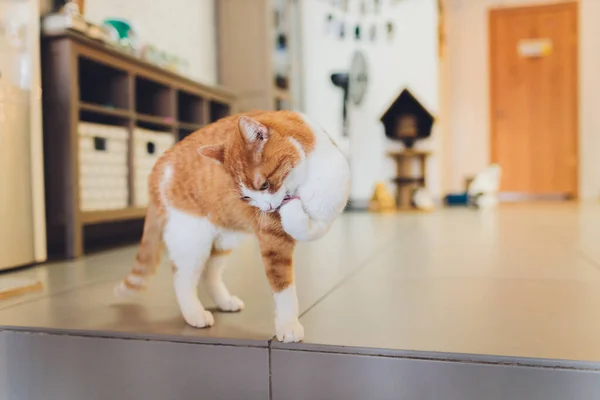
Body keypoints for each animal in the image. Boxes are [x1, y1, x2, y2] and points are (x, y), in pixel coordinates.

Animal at [116, 111, 352, 342]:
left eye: (264, 185)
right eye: (246, 197)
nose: (267, 208)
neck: (303, 187)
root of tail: (160, 163)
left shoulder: (332, 206)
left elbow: (315, 225)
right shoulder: (273, 239)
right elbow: (284, 288)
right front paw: (288, 325)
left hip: (224, 239)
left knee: (209, 273)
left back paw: (225, 302)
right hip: (192, 240)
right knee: (182, 277)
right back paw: (194, 314)